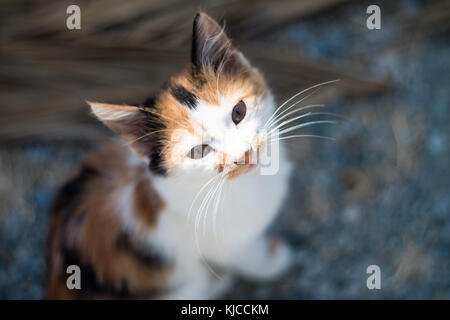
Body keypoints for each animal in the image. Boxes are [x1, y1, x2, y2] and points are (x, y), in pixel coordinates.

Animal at [47, 10, 294, 300]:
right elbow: (246, 256)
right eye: (199, 151)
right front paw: (273, 261)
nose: (244, 154)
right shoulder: (223, 243)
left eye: (238, 112)